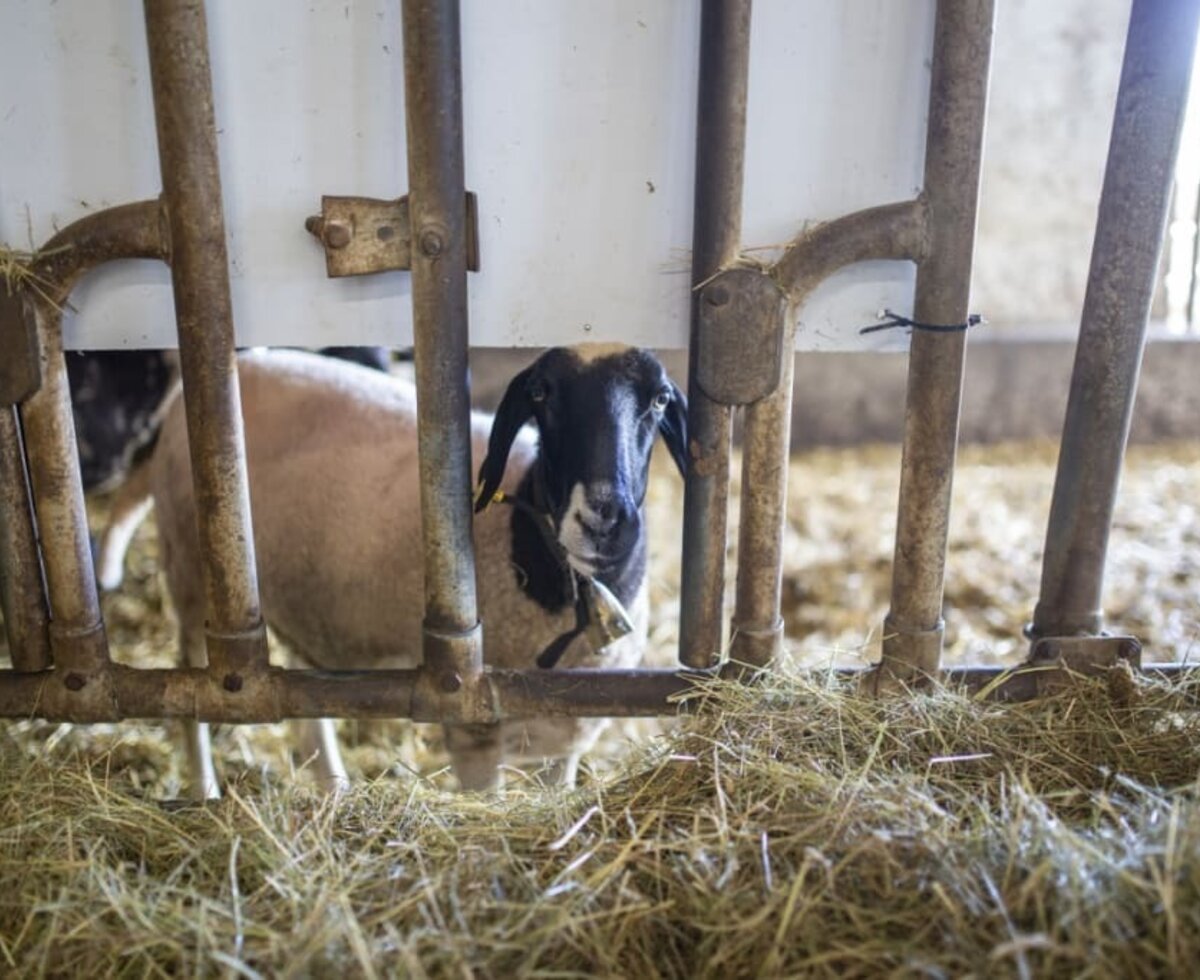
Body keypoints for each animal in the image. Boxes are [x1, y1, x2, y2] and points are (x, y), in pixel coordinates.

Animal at [108, 343, 691, 796]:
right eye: (541, 394)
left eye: (660, 400)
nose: (603, 518)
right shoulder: (473, 729)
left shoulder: (563, 742)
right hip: (191, 572)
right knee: (193, 690)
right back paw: (205, 788)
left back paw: (334, 791)